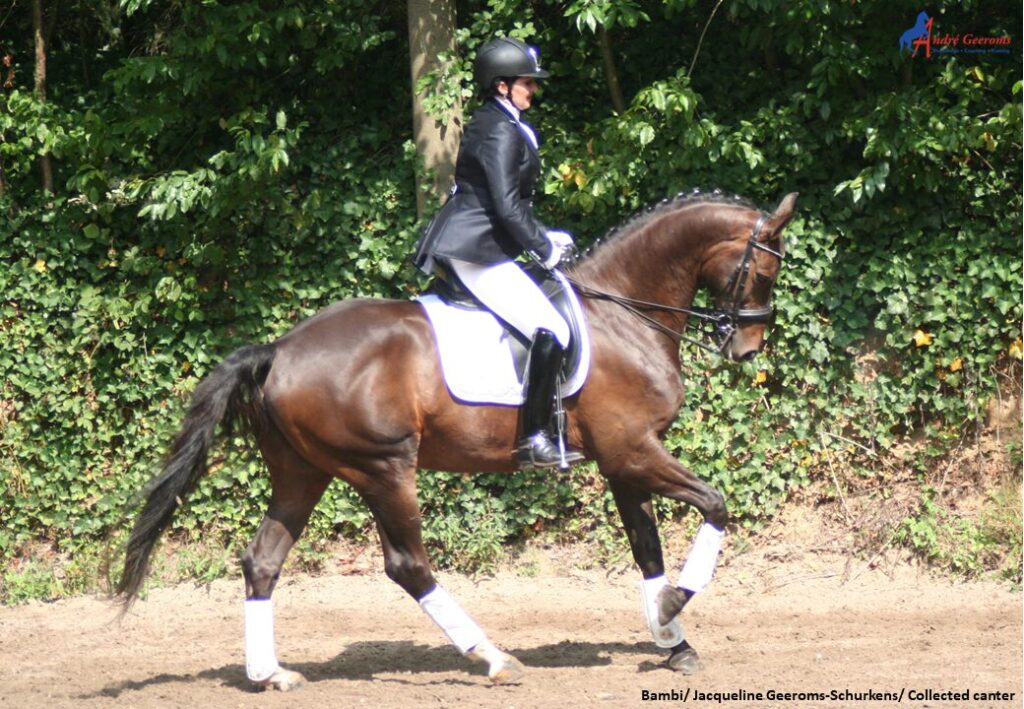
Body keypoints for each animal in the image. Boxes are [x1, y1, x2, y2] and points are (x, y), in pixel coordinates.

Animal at [116, 191, 794, 688]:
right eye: (763, 271)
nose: (747, 348)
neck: (623, 315)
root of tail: (278, 350)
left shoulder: (622, 461)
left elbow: (646, 549)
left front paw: (672, 639)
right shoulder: (635, 452)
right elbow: (715, 505)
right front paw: (675, 607)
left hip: (303, 473)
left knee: (263, 560)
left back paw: (270, 674)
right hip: (383, 468)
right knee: (408, 564)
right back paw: (491, 656)